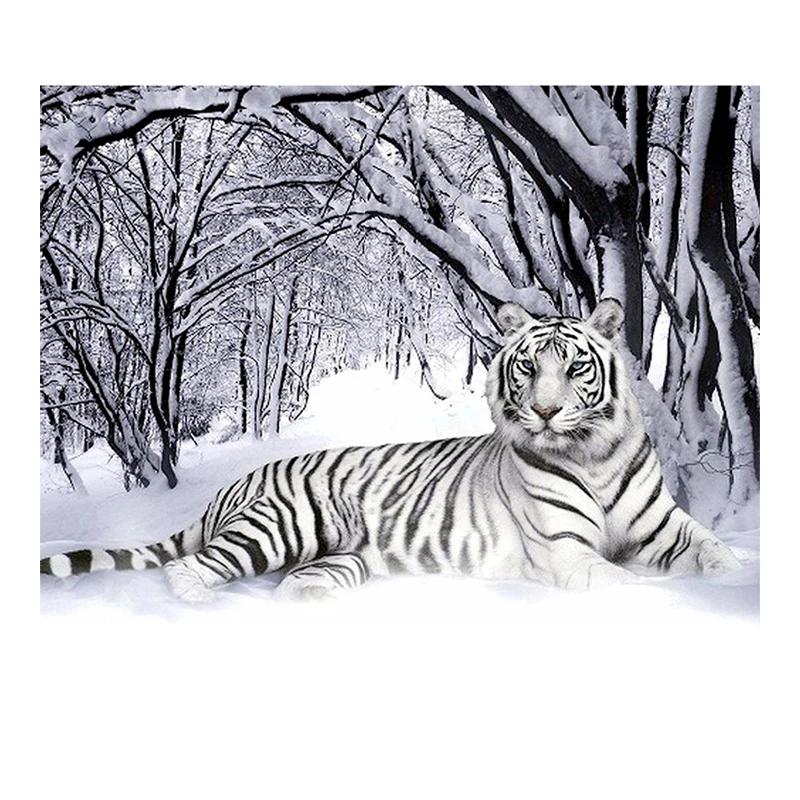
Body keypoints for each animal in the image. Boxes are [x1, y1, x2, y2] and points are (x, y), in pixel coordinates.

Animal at [40, 298, 742, 602]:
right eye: (527, 369)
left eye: (574, 368)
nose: (544, 411)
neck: (592, 454)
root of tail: (231, 486)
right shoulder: (566, 550)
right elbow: (626, 584)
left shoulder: (667, 527)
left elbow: (716, 552)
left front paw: (736, 579)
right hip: (279, 526)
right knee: (189, 569)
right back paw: (203, 604)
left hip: (338, 558)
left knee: (291, 584)